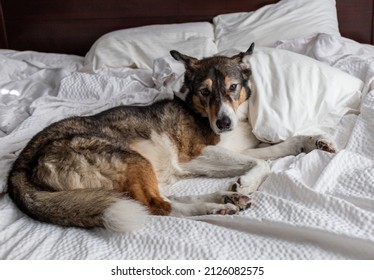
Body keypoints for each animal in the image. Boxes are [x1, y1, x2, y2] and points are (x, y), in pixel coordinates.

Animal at [6, 43, 336, 232]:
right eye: (204, 91)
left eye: (232, 87)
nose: (223, 123)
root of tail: (19, 168)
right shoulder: (195, 155)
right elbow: (263, 164)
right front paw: (248, 183)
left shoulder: (233, 152)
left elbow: (279, 147)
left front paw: (315, 142)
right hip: (131, 158)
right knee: (156, 205)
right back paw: (214, 206)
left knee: (159, 198)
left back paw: (223, 198)